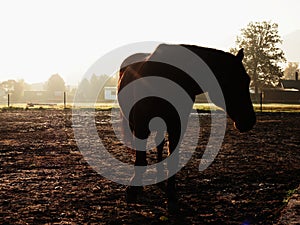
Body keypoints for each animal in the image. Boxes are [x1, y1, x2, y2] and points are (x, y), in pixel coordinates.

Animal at [117, 44, 255, 211]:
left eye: (247, 80)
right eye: (236, 81)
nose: (250, 120)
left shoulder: (177, 125)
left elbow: (172, 160)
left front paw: (171, 197)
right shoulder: (141, 125)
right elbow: (140, 159)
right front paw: (133, 189)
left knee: (159, 145)